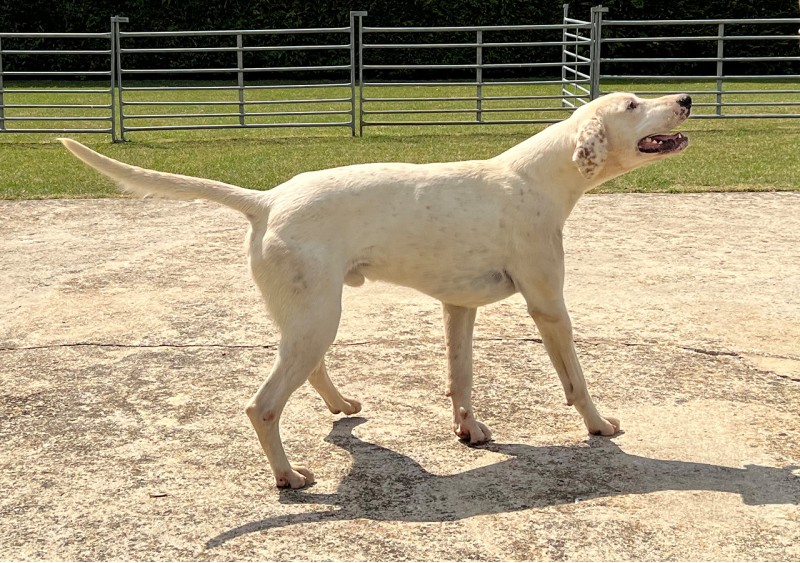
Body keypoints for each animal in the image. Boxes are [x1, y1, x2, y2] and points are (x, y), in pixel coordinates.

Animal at [59, 92, 692, 490]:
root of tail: (267, 199)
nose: (686, 98)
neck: (536, 177)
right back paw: (288, 477)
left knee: (310, 369)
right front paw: (600, 427)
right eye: (632, 105)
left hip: (308, 319)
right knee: (263, 406)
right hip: (318, 320)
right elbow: (577, 381)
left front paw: (469, 431)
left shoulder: (458, 307)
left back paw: (342, 406)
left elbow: (461, 379)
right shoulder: (549, 307)